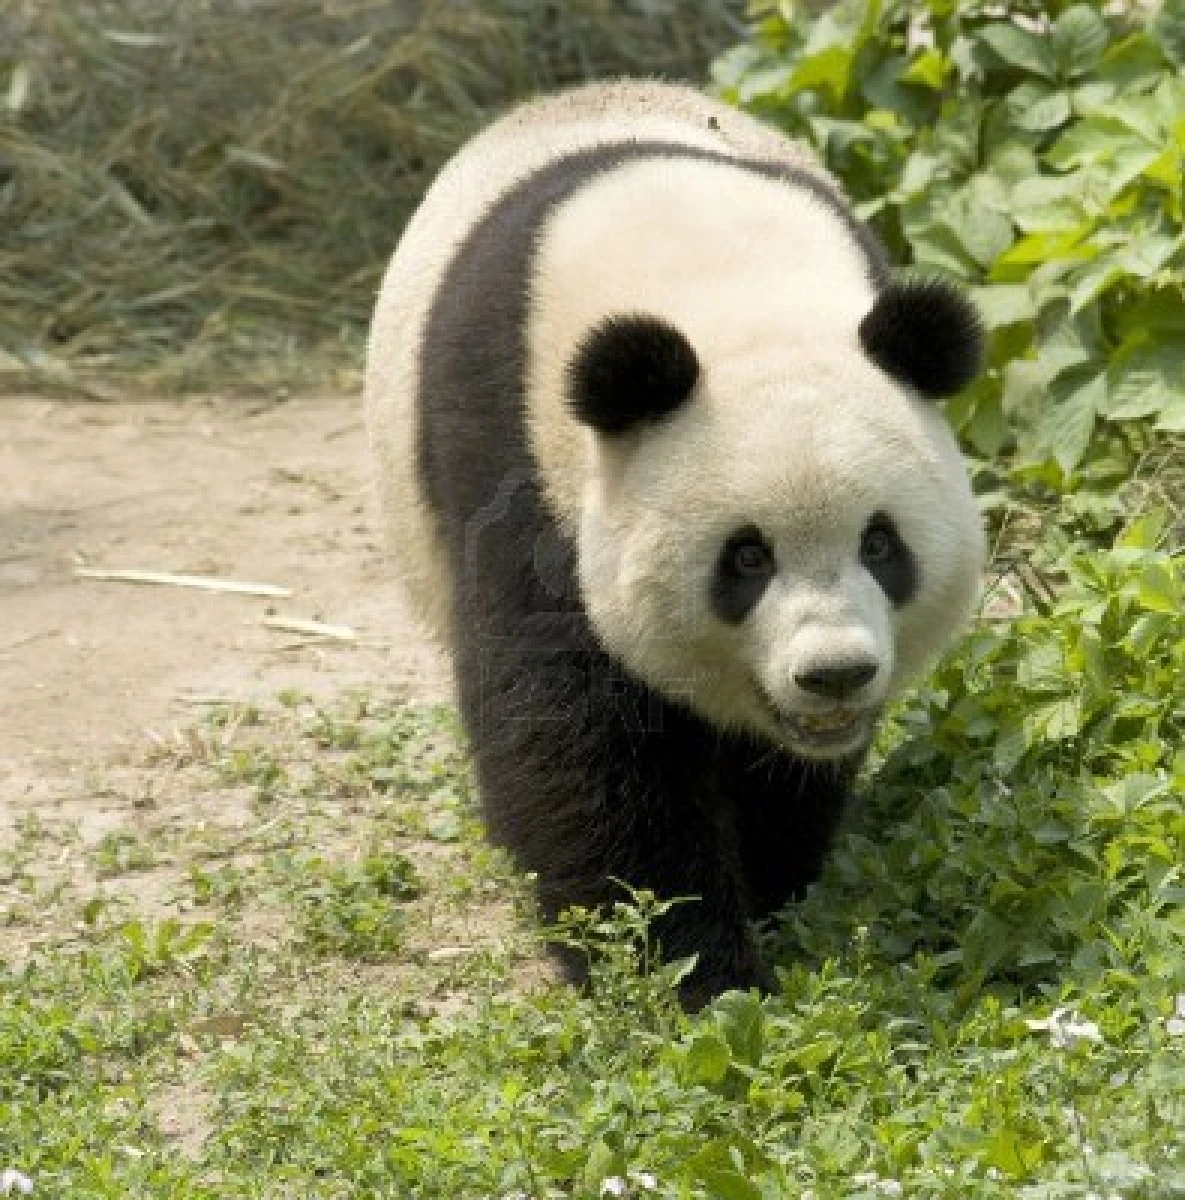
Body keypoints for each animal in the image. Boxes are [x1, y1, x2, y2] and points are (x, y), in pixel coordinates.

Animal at [365, 80, 985, 1007]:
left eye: (881, 544)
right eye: (746, 558)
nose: (833, 673)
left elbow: (779, 770)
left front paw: (770, 891)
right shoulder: (518, 459)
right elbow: (574, 736)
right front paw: (690, 973)